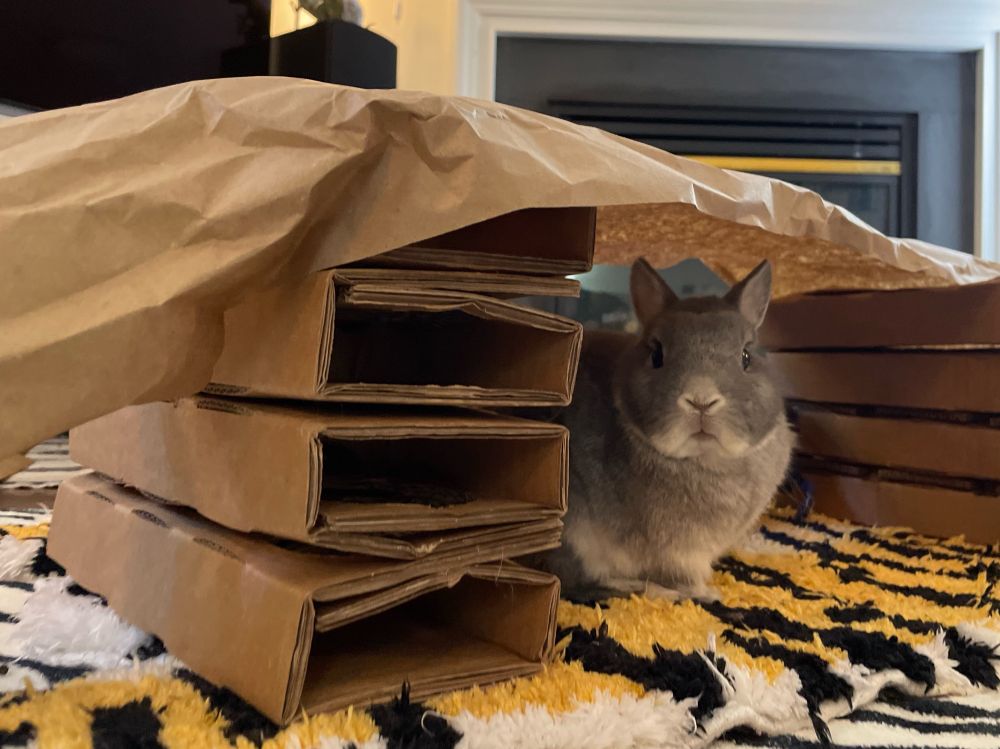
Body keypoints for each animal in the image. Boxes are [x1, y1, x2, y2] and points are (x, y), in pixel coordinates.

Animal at [535, 258, 793, 602]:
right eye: (656, 354)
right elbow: (683, 576)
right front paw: (708, 593)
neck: (704, 459)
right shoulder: (677, 554)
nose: (701, 400)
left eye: (746, 356)